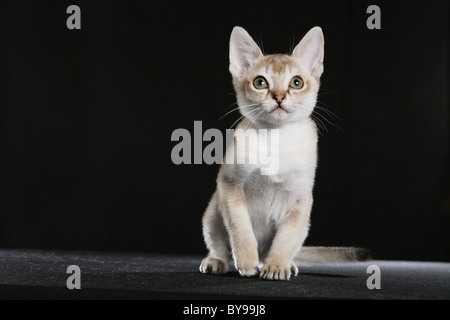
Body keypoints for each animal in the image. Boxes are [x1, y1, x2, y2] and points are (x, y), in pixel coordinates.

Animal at [200, 26, 370, 280]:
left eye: (296, 82)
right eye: (260, 83)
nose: (279, 96)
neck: (276, 140)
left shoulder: (301, 200)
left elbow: (285, 239)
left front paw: (277, 266)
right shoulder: (229, 186)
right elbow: (241, 229)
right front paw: (246, 261)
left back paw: (283, 264)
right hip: (212, 211)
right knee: (218, 244)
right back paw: (217, 261)